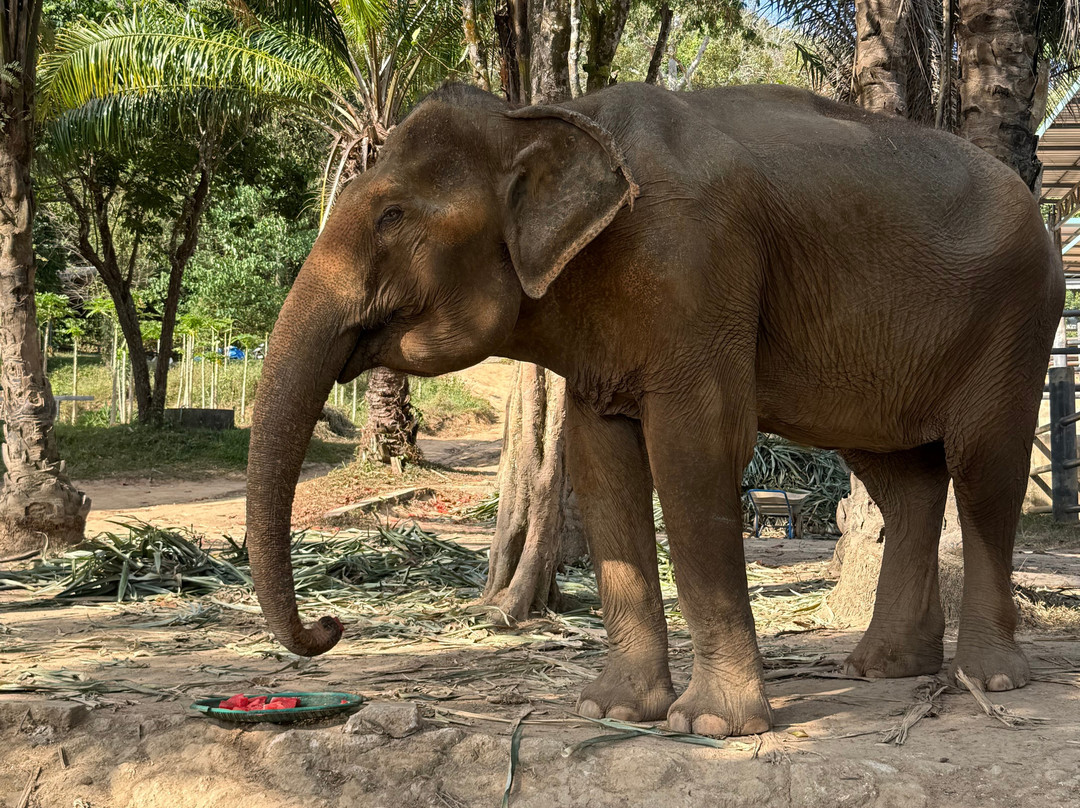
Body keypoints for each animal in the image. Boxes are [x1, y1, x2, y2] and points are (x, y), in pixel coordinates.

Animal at [245, 81, 1063, 737]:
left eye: (391, 215)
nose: (330, 625)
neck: (548, 112)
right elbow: (602, 465)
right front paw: (611, 710)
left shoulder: (696, 271)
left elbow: (695, 451)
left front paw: (710, 726)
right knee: (905, 477)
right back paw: (884, 668)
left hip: (1016, 322)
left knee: (983, 471)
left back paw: (990, 680)